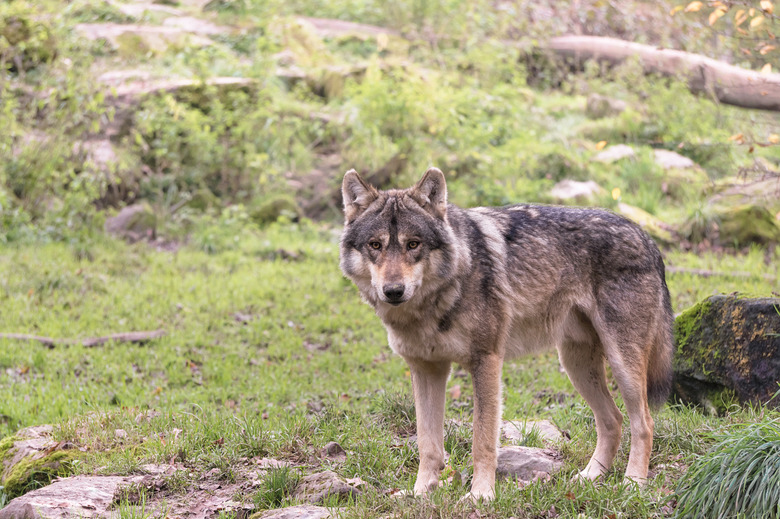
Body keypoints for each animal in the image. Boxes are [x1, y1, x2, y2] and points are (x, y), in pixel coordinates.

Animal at [338, 167, 672, 500]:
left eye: (413, 244)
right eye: (375, 245)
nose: (393, 291)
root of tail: (647, 237)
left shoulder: (486, 361)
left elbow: (482, 439)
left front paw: (481, 495)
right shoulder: (426, 369)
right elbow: (427, 444)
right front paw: (421, 493)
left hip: (621, 364)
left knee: (644, 422)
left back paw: (633, 483)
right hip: (575, 365)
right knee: (612, 420)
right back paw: (590, 477)